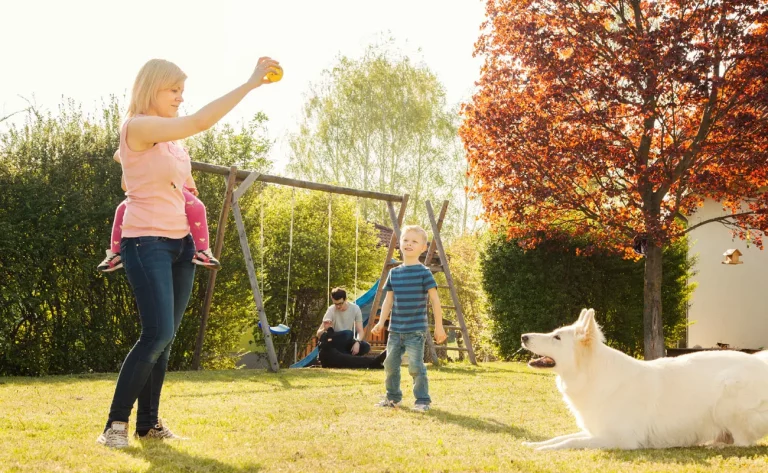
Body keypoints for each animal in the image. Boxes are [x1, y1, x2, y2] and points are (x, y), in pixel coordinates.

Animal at [520, 308, 768, 448]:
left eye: (557, 337)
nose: (523, 336)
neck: (594, 374)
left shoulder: (619, 440)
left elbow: (570, 441)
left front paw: (541, 449)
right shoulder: (595, 432)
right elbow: (560, 438)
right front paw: (533, 444)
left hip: (727, 398)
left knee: (744, 443)